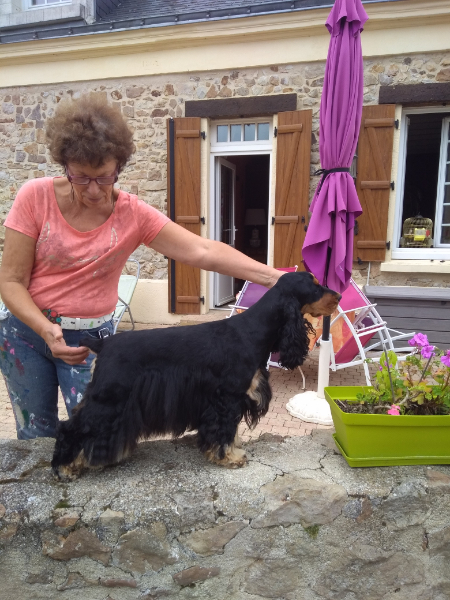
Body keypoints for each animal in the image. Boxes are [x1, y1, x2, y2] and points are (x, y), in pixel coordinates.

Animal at [52, 272, 341, 480]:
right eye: (316, 285)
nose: (338, 295)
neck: (254, 330)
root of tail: (103, 344)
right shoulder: (228, 397)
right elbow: (225, 429)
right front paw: (229, 458)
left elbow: (231, 430)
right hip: (110, 398)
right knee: (71, 427)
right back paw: (65, 467)